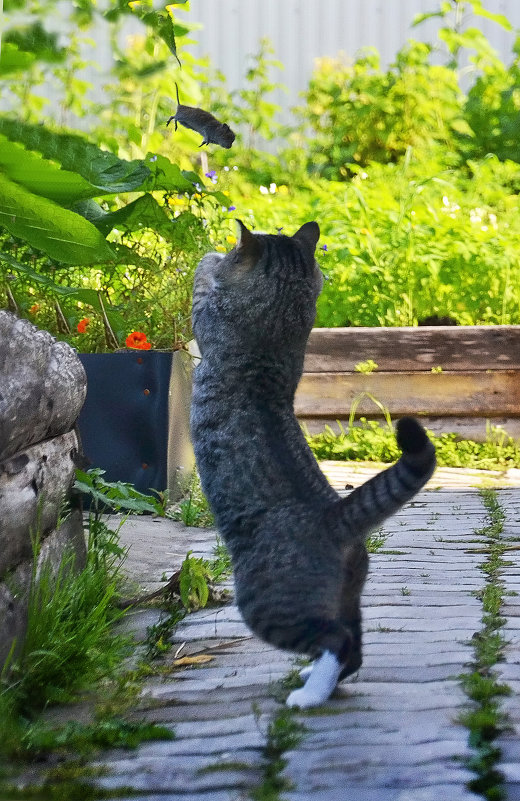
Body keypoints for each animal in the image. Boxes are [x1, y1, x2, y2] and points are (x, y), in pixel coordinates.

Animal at [190, 219, 434, 708]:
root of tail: (335, 516)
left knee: (336, 642)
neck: (278, 324)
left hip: (266, 604)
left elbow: (201, 292)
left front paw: (208, 256)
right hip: (347, 596)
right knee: (352, 648)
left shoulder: (209, 321)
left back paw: (308, 696)